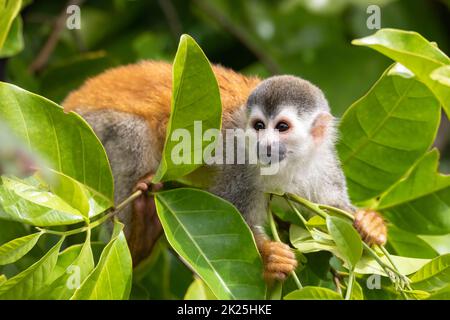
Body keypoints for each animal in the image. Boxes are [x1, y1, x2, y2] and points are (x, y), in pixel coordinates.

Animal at [64, 61, 386, 282]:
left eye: (281, 127)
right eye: (259, 126)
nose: (264, 144)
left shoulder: (323, 164)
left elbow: (331, 207)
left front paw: (369, 224)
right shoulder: (238, 161)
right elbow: (232, 214)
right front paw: (269, 258)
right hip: (95, 126)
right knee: (133, 138)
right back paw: (138, 239)